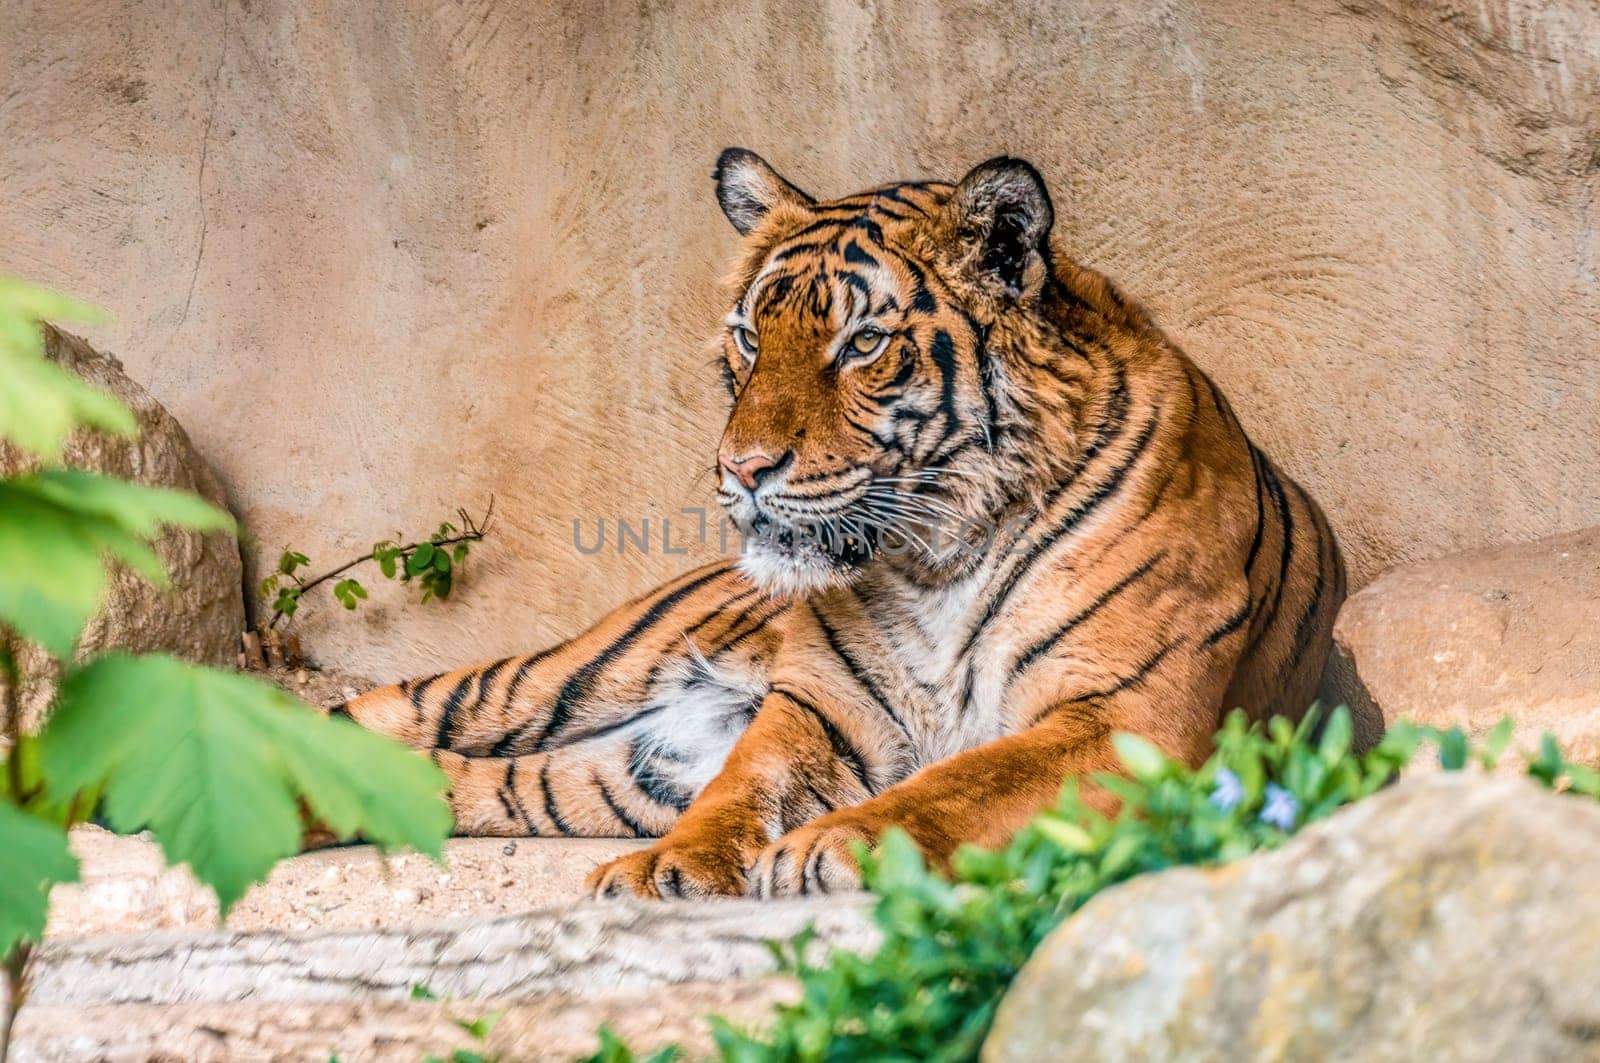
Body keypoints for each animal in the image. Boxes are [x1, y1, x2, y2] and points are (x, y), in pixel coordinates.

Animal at [337, 147, 1350, 896]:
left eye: (861, 343)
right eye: (751, 337)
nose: (740, 469)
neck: (941, 555)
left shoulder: (1125, 717)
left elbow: (963, 781)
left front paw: (839, 844)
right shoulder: (818, 705)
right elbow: (742, 786)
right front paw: (669, 867)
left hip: (612, 773)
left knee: (452, 778)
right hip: (561, 678)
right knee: (376, 718)